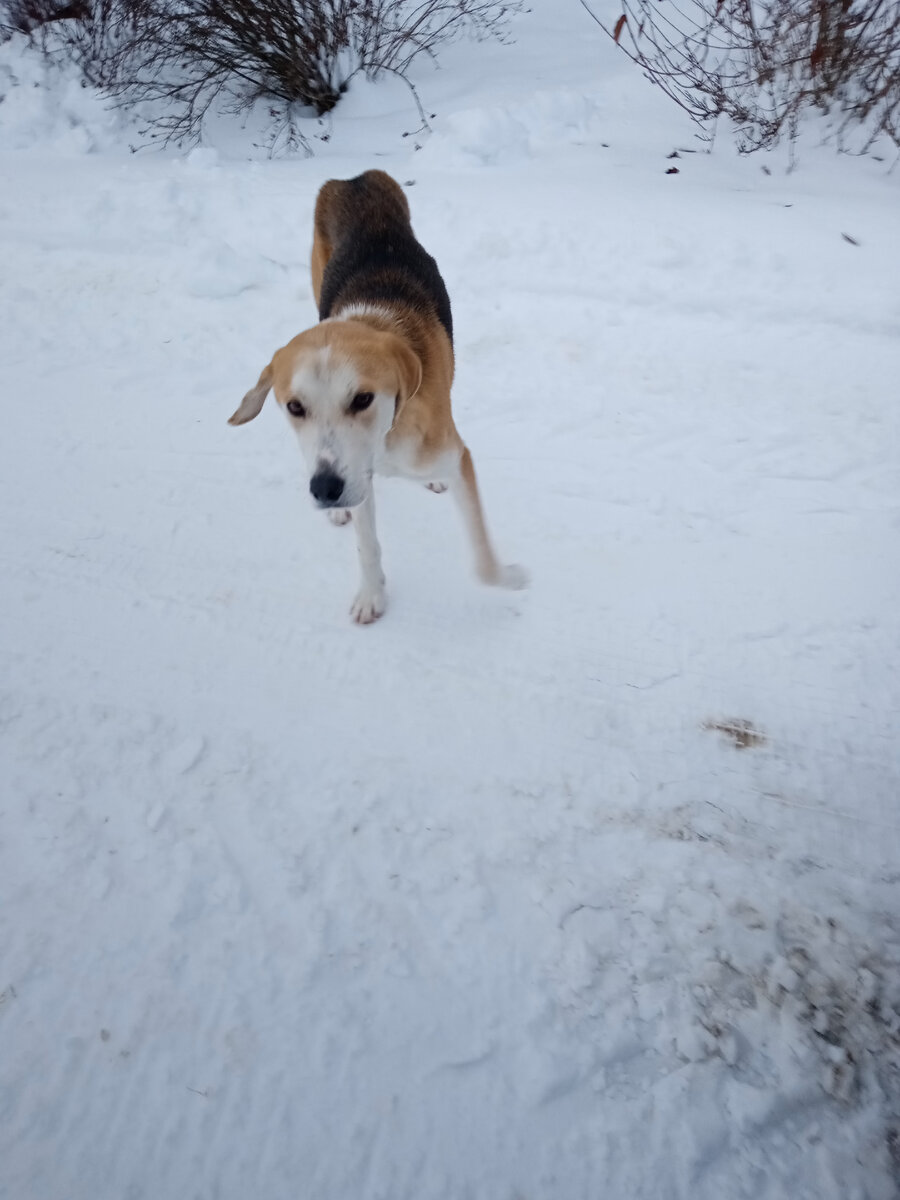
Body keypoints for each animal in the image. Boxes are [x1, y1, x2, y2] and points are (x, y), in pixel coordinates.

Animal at [229, 171, 528, 628]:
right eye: (295, 407)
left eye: (363, 399)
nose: (325, 489)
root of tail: (354, 179)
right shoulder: (358, 476)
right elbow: (366, 544)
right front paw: (372, 594)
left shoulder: (455, 458)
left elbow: (482, 564)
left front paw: (510, 577)